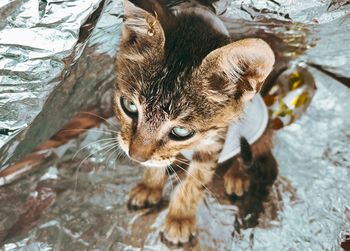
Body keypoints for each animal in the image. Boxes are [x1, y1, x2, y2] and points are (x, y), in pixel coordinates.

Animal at [115, 0, 276, 247]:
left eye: (181, 131)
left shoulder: (214, 142)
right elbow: (158, 163)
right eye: (129, 106)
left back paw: (238, 175)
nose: (136, 156)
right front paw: (150, 185)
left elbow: (196, 181)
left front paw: (180, 218)